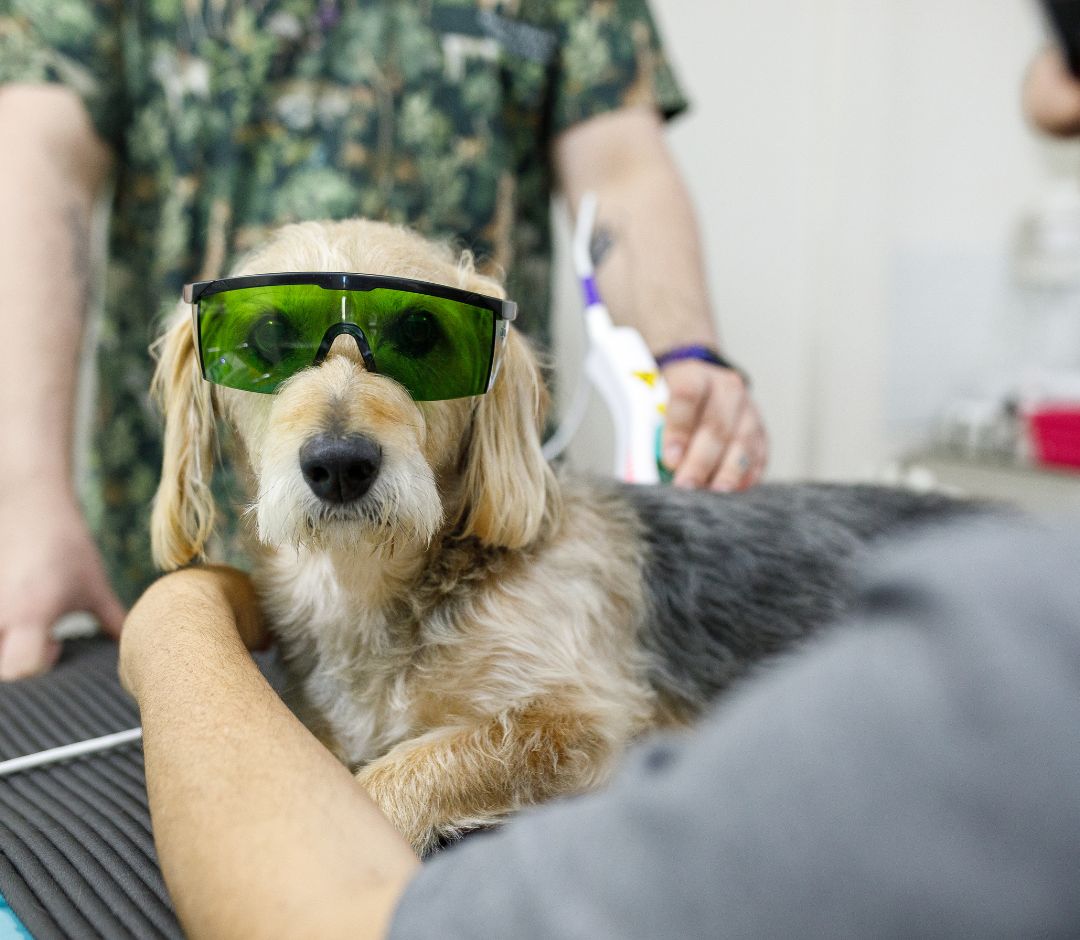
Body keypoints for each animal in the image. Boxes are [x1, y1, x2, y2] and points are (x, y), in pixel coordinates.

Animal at [150, 219, 980, 855]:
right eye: (267, 335)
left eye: (422, 333)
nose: (340, 464)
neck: (383, 584)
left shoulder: (582, 724)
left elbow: (394, 778)